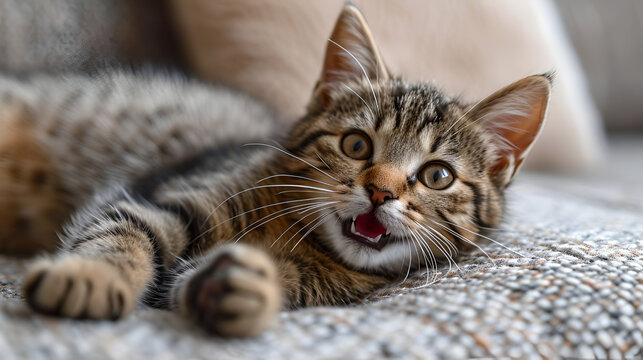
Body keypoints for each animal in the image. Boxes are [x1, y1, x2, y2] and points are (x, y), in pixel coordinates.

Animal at [2, 3, 552, 338]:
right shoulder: (162, 193)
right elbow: (123, 232)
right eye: (356, 144)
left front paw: (244, 289)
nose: (379, 192)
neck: (304, 239)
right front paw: (92, 275)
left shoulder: (316, 285)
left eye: (437, 176)